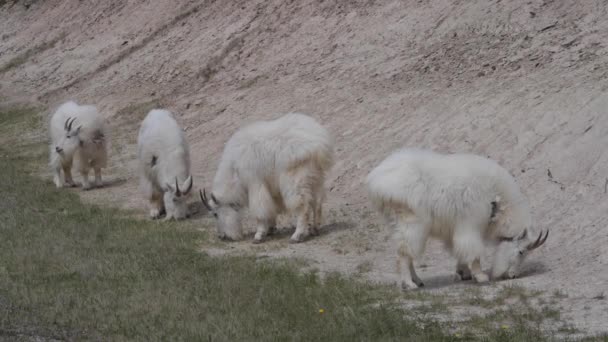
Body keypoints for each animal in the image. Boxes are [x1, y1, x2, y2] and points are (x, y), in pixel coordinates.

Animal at [200, 112, 332, 243]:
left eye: (215, 214)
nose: (221, 236)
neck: (234, 170)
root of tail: (320, 142)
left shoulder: (255, 183)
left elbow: (260, 210)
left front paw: (259, 235)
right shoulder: (270, 187)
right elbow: (271, 208)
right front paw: (270, 229)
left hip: (295, 178)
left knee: (302, 205)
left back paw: (297, 235)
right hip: (314, 177)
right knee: (316, 202)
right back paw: (315, 229)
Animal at [366, 148, 552, 290]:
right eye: (521, 252)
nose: (513, 275)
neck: (496, 198)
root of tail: (376, 181)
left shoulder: (455, 228)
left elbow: (459, 250)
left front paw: (464, 273)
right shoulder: (471, 223)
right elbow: (473, 250)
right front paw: (480, 276)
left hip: (396, 223)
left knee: (406, 251)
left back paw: (418, 281)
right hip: (411, 222)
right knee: (404, 254)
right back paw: (409, 284)